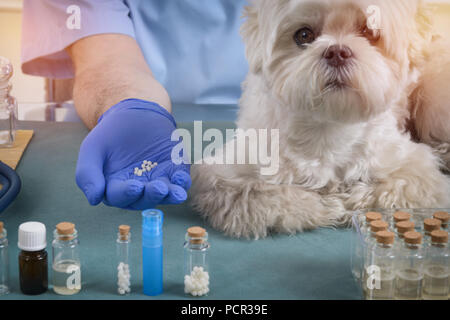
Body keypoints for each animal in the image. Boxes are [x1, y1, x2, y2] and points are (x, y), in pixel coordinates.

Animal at [190, 0, 450, 239]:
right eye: (304, 35)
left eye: (369, 31)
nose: (337, 52)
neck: (328, 126)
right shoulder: (226, 174)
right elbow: (261, 193)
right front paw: (324, 205)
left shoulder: (413, 169)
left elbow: (393, 189)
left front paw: (346, 199)